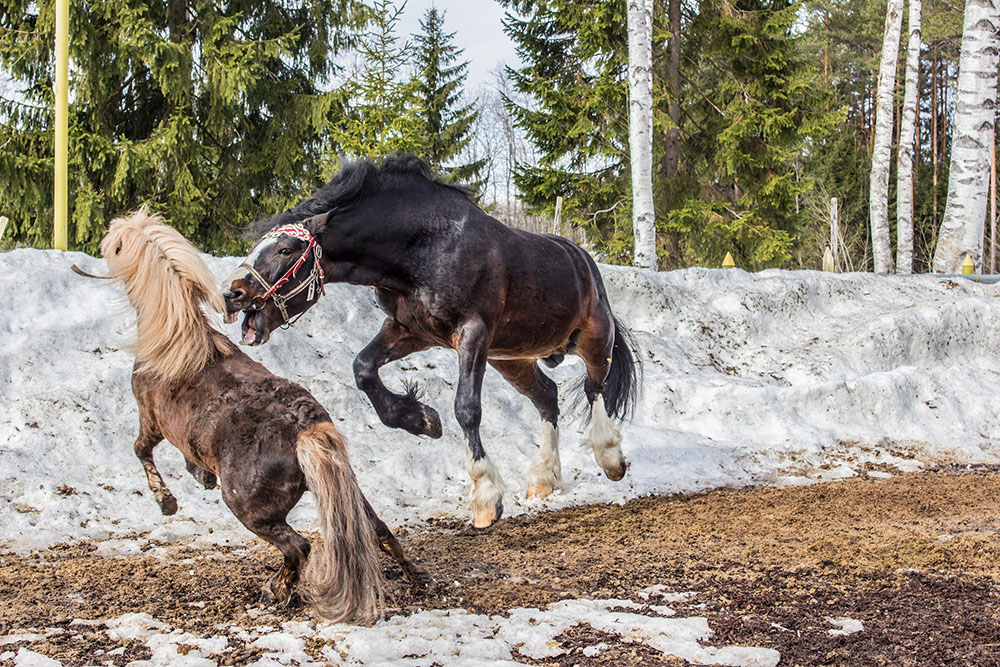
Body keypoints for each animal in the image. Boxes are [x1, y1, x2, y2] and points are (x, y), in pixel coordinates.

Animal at [100, 210, 426, 628]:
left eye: (117, 243)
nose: (107, 239)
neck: (175, 340)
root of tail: (306, 428)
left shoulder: (150, 420)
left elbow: (141, 451)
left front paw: (167, 501)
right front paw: (200, 474)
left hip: (251, 510)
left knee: (299, 547)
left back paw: (278, 590)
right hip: (349, 496)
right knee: (380, 532)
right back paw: (420, 579)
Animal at [223, 157, 636, 528]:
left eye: (286, 249)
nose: (232, 293)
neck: (424, 247)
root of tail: (584, 261)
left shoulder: (472, 333)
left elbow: (467, 408)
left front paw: (485, 497)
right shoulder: (411, 331)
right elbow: (363, 369)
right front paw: (422, 419)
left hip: (593, 338)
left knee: (594, 389)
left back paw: (610, 458)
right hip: (511, 357)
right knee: (548, 397)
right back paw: (543, 477)